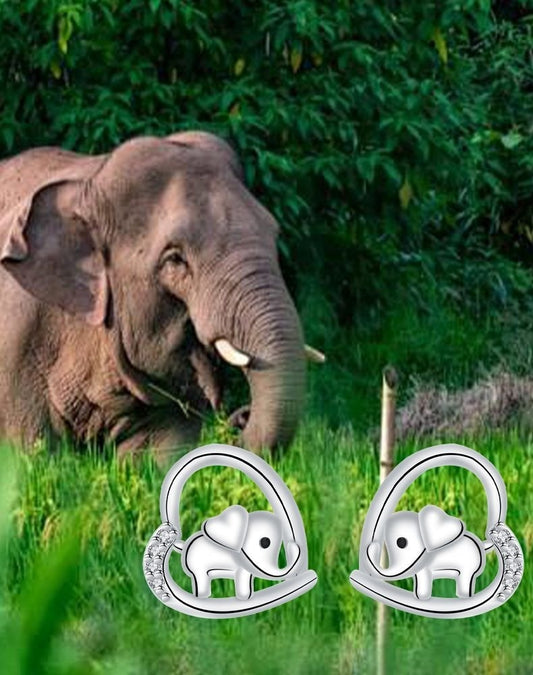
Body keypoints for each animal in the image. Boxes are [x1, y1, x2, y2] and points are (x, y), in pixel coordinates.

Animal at [0, 131, 320, 457]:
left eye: (274, 234)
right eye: (175, 259)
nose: (241, 416)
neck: (91, 183)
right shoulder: (16, 340)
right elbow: (32, 451)